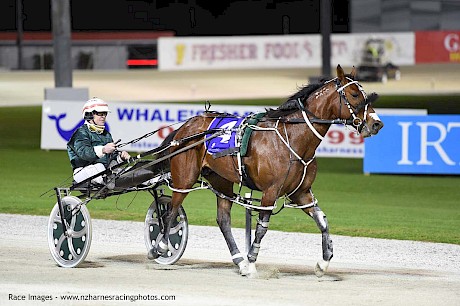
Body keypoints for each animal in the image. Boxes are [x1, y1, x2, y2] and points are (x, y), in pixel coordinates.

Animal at [148, 65, 384, 278]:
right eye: (354, 94)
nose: (377, 124)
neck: (293, 138)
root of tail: (186, 126)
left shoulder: (302, 193)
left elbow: (323, 222)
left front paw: (323, 263)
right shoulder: (270, 192)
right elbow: (262, 228)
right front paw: (253, 263)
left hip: (221, 181)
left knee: (223, 221)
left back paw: (239, 262)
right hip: (184, 178)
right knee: (171, 211)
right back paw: (160, 248)